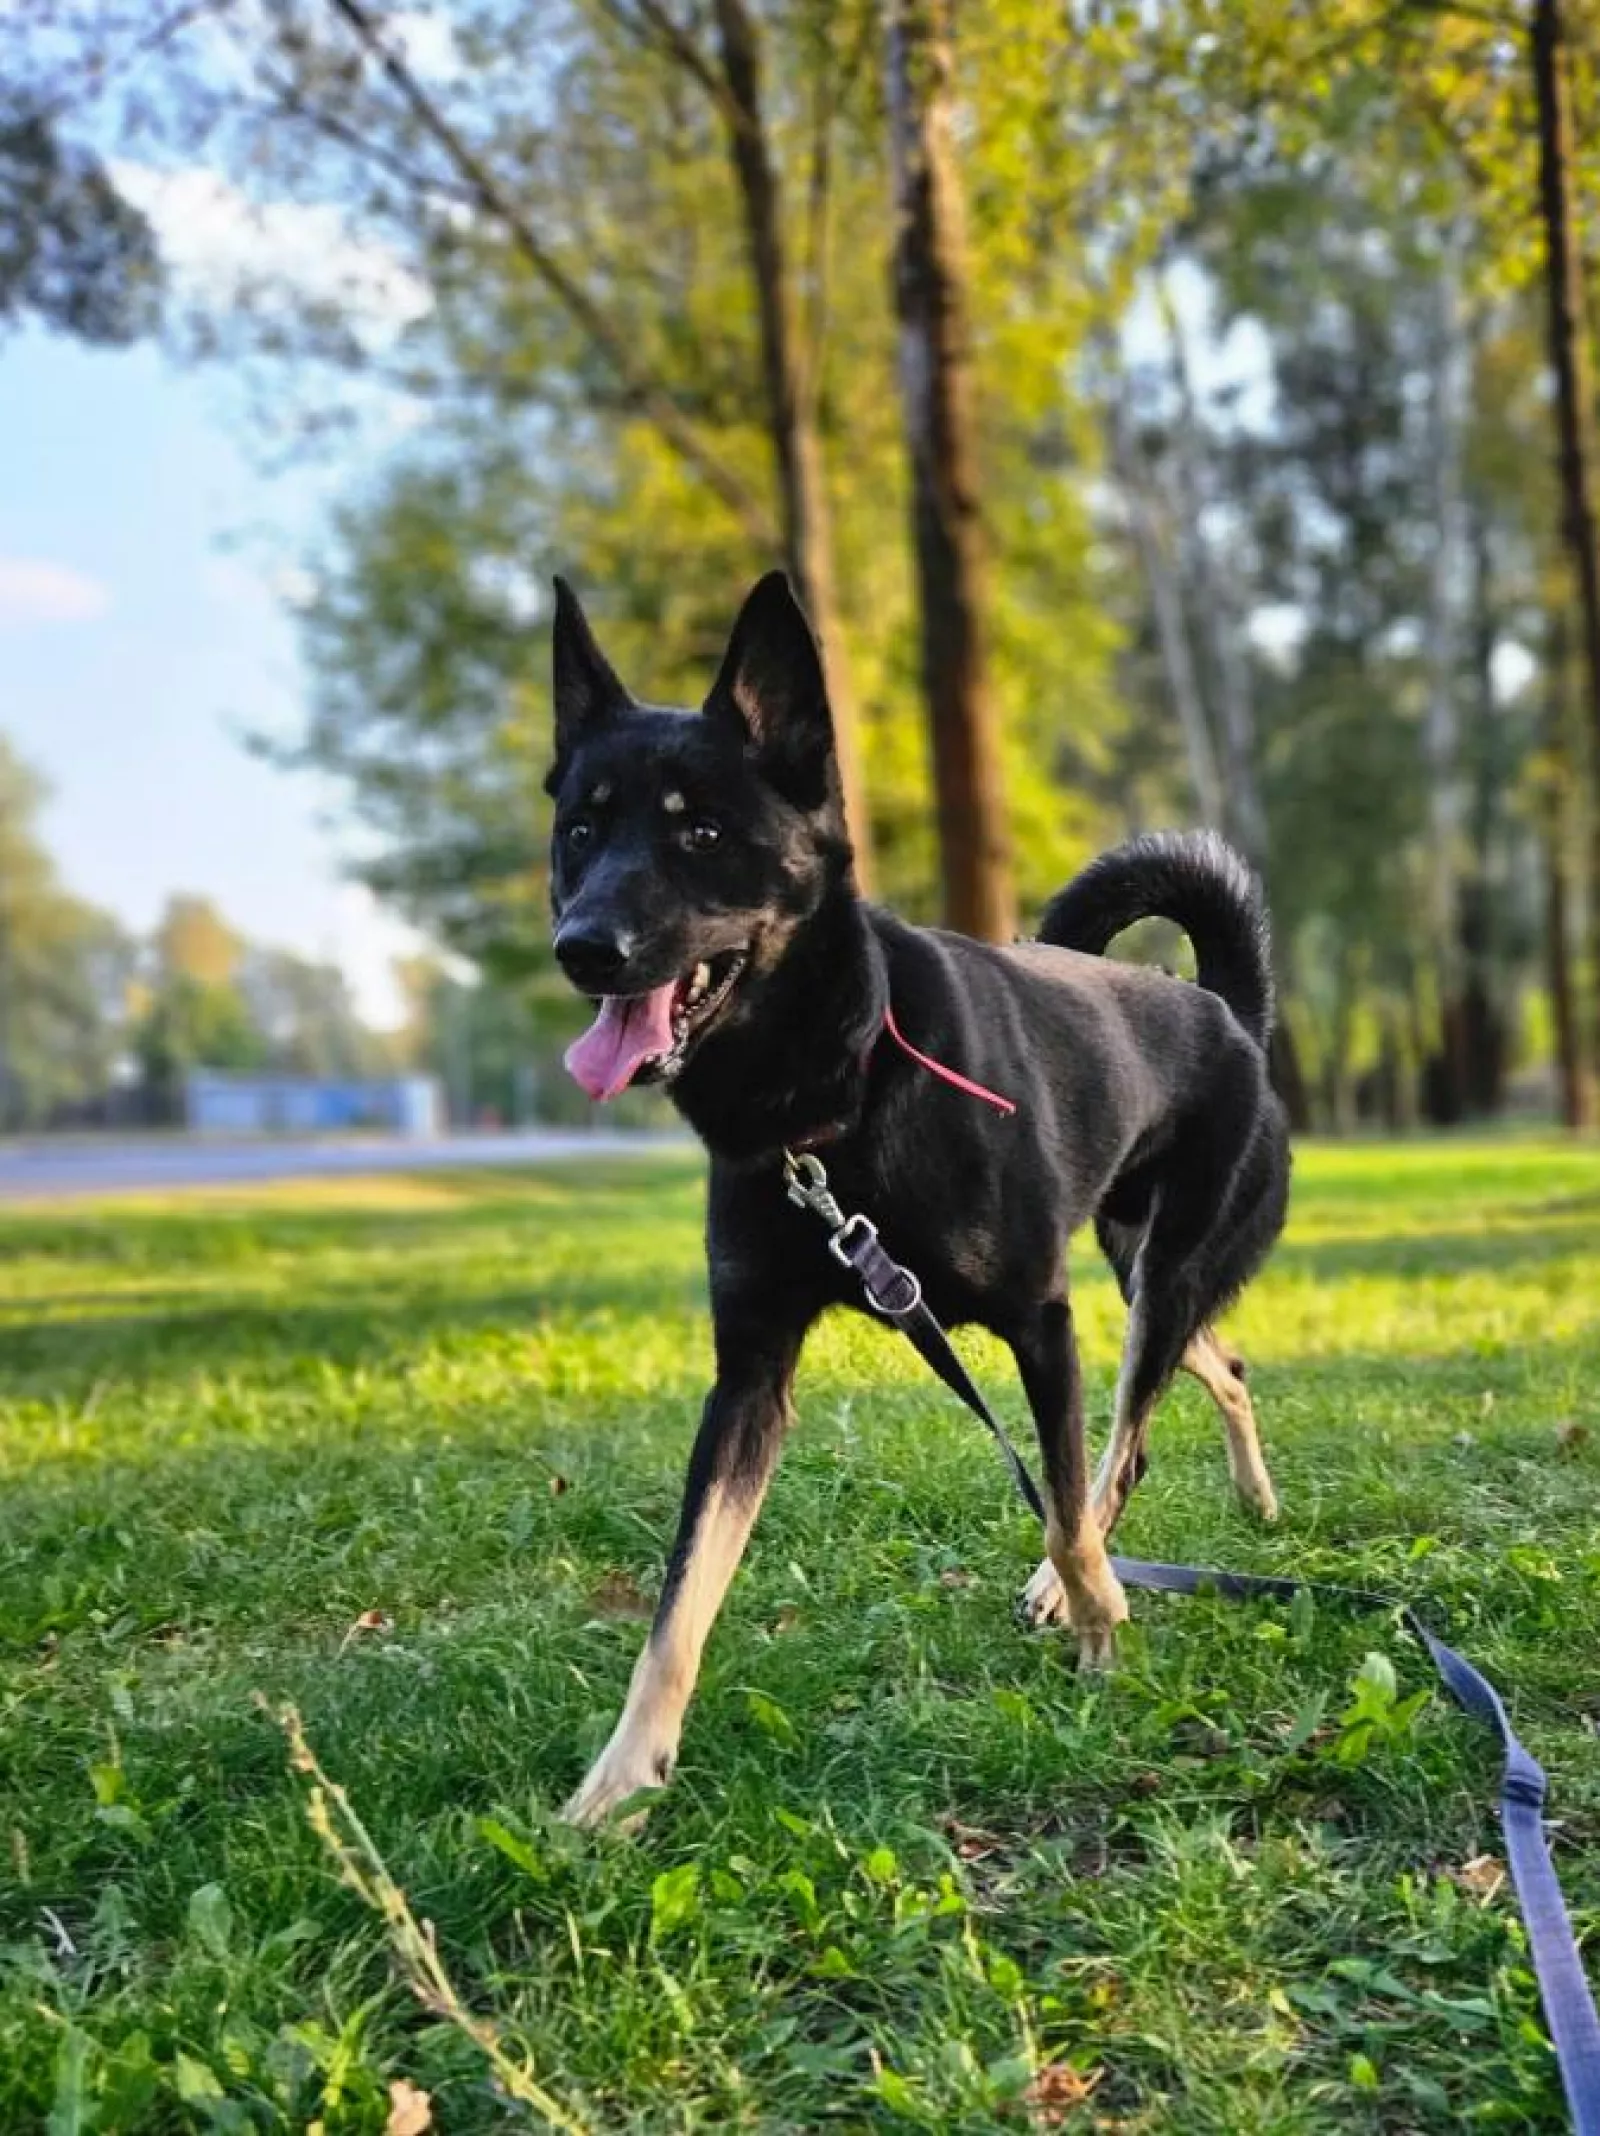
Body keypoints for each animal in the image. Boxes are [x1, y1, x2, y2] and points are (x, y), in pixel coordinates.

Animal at [546, 571, 1289, 1826]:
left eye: (702, 831)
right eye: (581, 832)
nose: (581, 946)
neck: (830, 1097)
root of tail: (1227, 1008)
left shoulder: (1043, 1322)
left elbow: (1064, 1504)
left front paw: (1096, 1628)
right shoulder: (748, 1378)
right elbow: (679, 1603)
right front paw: (619, 1782)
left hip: (1161, 1272)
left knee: (1123, 1446)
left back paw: (1081, 1579)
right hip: (1135, 1261)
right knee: (1216, 1367)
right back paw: (1251, 1500)